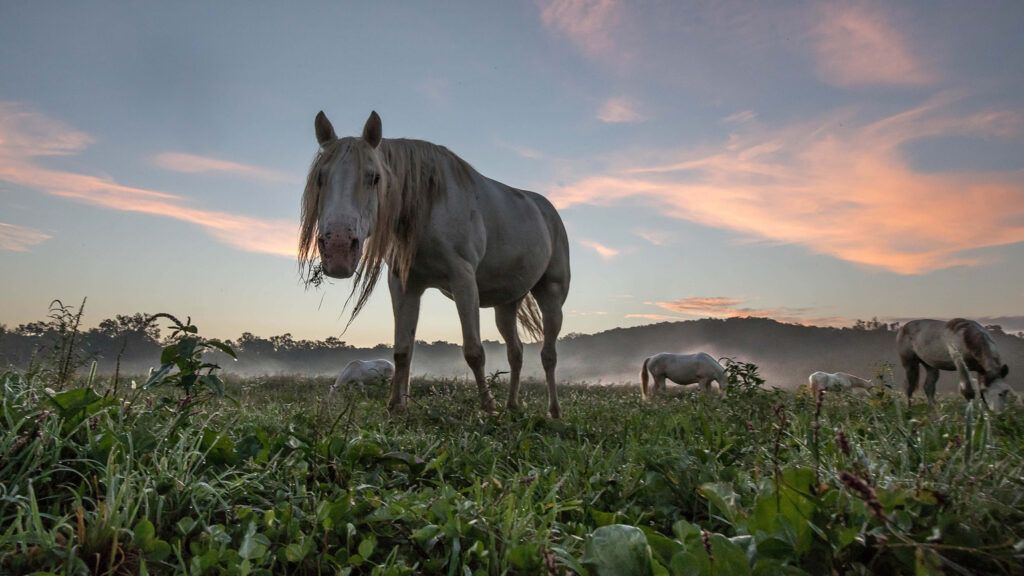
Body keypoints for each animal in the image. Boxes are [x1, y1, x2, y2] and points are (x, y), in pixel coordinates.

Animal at [296, 112, 573, 414]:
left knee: (548, 354)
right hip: (507, 303)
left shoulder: (464, 281)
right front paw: (396, 406)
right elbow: (402, 350)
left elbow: (474, 351)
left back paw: (554, 411)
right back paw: (512, 406)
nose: (338, 248)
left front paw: (488, 407)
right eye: (320, 177)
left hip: (551, 294)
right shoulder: (405, 286)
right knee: (516, 352)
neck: (429, 205)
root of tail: (548, 211)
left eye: (374, 177)